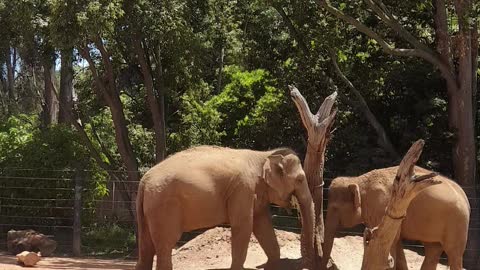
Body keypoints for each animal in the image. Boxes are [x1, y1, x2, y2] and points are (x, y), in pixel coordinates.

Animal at [135, 146, 316, 270]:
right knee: (165, 245)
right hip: (164, 207)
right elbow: (244, 226)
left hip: (148, 210)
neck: (264, 155)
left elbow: (263, 225)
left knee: (146, 247)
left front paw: (273, 265)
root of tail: (144, 180)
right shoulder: (243, 189)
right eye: (300, 179)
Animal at [320, 166, 470, 270]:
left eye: (335, 208)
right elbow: (395, 241)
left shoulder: (380, 206)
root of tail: (465, 197)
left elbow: (390, 240)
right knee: (433, 250)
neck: (358, 180)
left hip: (457, 223)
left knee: (454, 253)